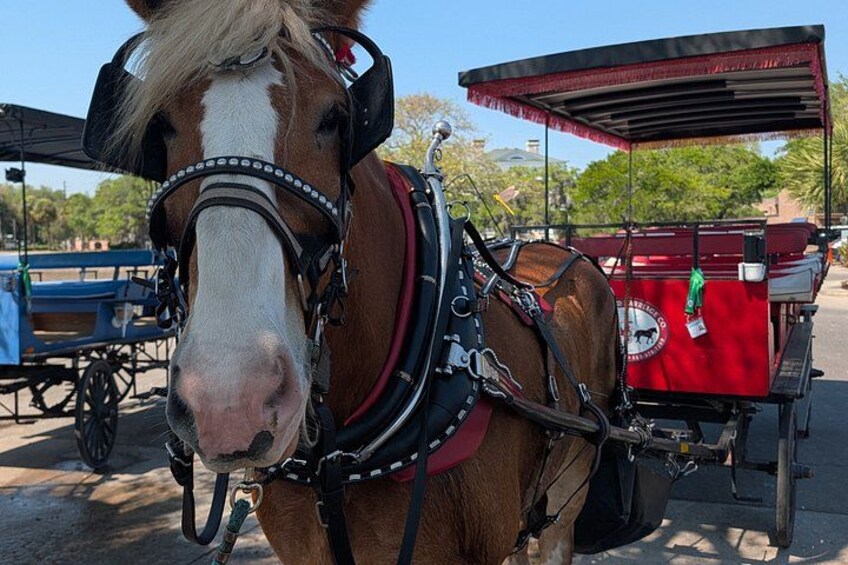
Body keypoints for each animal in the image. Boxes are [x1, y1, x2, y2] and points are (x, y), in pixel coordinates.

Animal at [113, 1, 619, 563]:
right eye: (161, 125)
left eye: (335, 117)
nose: (229, 402)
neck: (338, 456)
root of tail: (558, 251)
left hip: (567, 499)